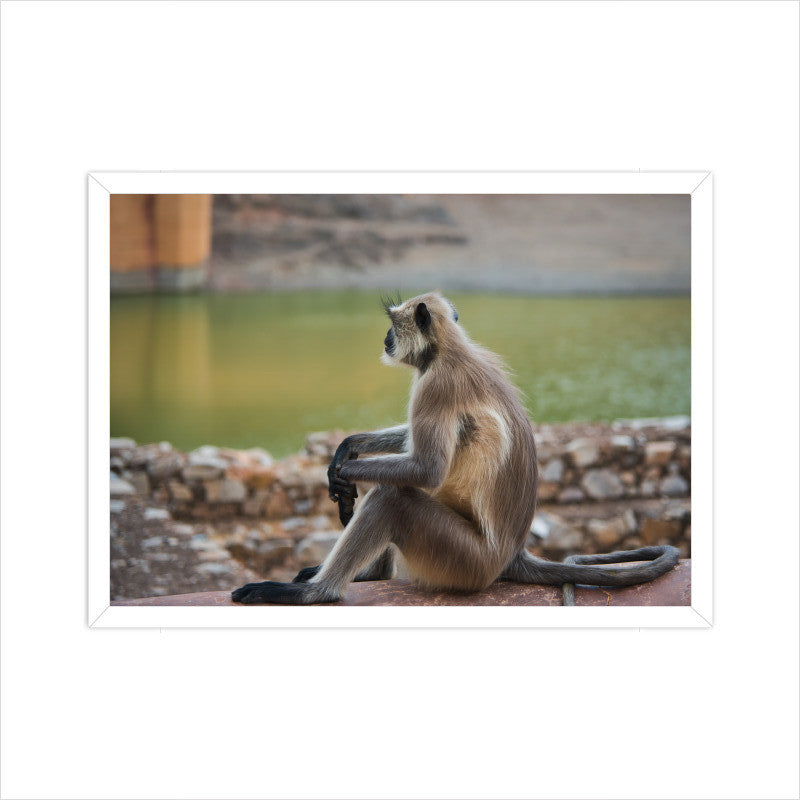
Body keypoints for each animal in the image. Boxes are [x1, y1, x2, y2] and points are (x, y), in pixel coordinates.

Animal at [232, 291, 680, 605]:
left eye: (393, 325)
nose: (385, 338)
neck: (448, 349)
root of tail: (511, 554)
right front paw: (347, 448)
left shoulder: (436, 384)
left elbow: (427, 468)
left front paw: (341, 473)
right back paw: (368, 575)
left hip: (464, 561)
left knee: (393, 496)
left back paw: (318, 592)